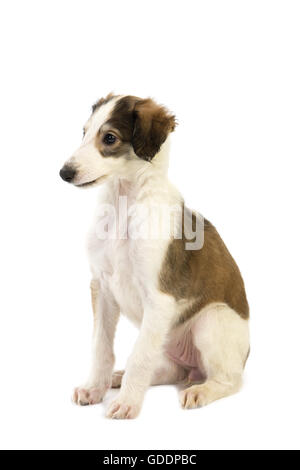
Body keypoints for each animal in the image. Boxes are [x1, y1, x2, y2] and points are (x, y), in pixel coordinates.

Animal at [59, 92, 250, 418]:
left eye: (109, 138)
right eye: (83, 132)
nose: (64, 173)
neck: (123, 206)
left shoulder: (160, 298)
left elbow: (139, 357)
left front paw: (127, 403)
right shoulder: (102, 286)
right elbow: (101, 348)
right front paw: (94, 388)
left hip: (211, 320)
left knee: (230, 380)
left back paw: (201, 390)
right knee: (171, 369)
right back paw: (119, 378)